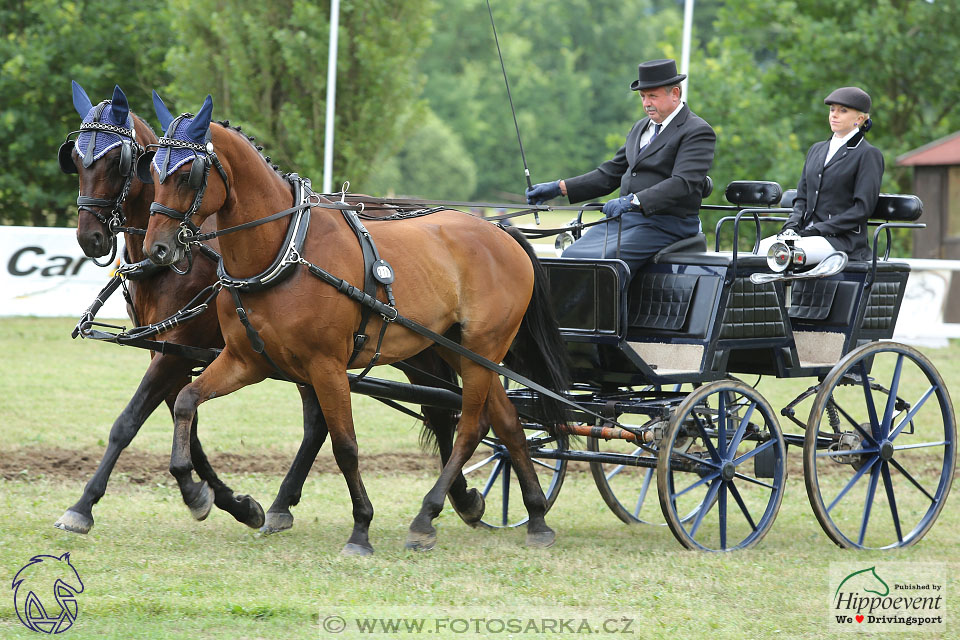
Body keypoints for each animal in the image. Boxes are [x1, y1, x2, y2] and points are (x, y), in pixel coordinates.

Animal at [139, 95, 568, 556]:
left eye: (188, 173)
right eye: (152, 169)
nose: (156, 249)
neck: (285, 250)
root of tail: (499, 229)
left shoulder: (326, 366)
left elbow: (345, 446)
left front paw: (361, 528)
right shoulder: (246, 361)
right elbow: (187, 400)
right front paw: (194, 491)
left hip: (483, 348)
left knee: (471, 426)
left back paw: (427, 515)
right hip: (459, 349)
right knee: (507, 422)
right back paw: (536, 517)